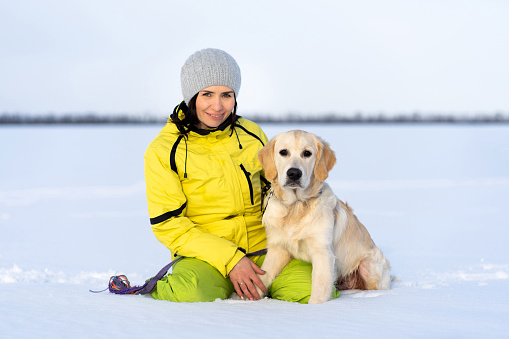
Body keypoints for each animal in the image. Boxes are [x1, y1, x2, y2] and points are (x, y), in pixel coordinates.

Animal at [256, 131, 390, 306]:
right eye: (283, 152)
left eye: (307, 153)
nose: (294, 173)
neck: (296, 206)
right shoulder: (278, 248)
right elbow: (263, 276)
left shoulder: (322, 252)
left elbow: (319, 287)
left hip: (368, 265)